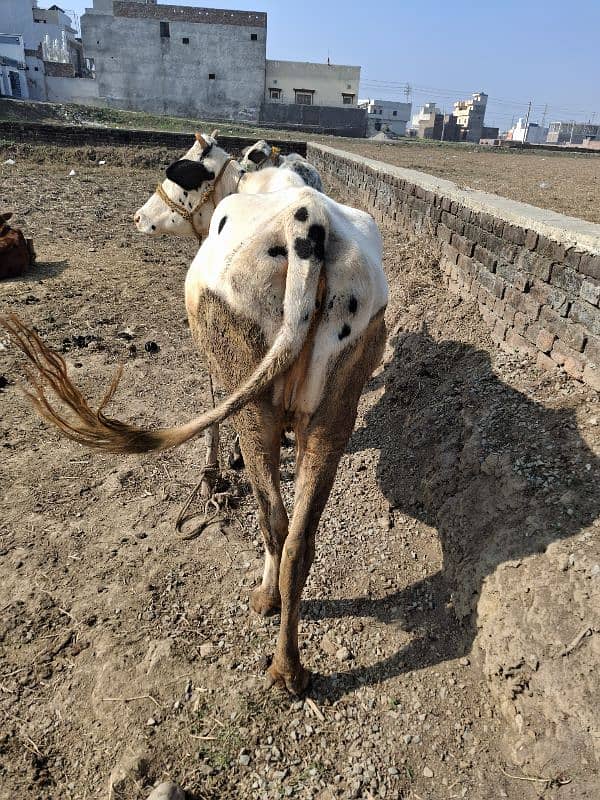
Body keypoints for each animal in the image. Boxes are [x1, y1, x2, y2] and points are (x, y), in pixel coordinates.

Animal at [2, 133, 386, 692]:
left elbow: (214, 413)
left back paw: (266, 602)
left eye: (179, 170)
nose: (139, 216)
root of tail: (306, 227)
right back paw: (289, 666)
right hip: (335, 409)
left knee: (273, 519)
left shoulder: (219, 370)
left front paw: (214, 471)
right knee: (299, 539)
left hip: (249, 383)